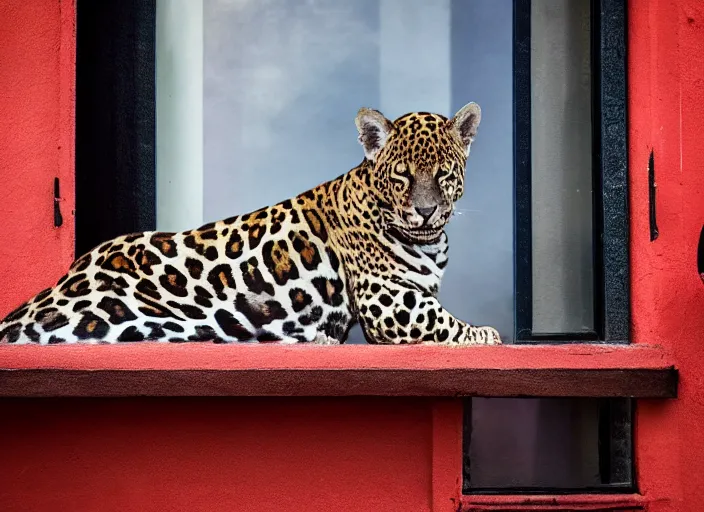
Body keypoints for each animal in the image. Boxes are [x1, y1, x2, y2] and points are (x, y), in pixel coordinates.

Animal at [2, 102, 504, 346]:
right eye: (403, 176)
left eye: (443, 174)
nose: (426, 211)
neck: (430, 241)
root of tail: (67, 273)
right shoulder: (386, 298)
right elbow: (441, 321)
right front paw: (486, 334)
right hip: (107, 314)